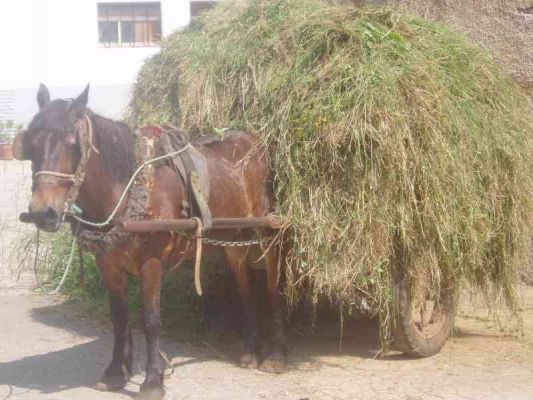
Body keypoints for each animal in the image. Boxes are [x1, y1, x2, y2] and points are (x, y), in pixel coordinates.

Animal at [13, 84, 286, 400]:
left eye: (72, 144)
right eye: (31, 145)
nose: (42, 212)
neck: (129, 189)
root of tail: (252, 141)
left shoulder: (151, 262)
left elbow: (151, 320)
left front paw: (153, 379)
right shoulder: (108, 263)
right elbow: (119, 317)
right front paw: (115, 372)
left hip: (266, 231)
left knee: (273, 283)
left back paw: (275, 354)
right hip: (232, 237)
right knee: (244, 287)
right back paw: (251, 349)